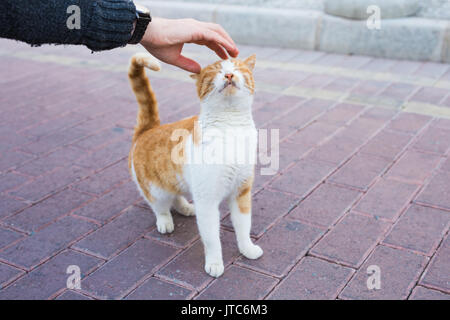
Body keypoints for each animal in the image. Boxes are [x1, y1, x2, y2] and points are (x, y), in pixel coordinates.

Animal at [126, 52, 262, 278]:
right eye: (216, 71)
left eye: (237, 68)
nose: (229, 74)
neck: (231, 127)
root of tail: (148, 129)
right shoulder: (207, 200)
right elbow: (212, 238)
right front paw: (215, 263)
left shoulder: (241, 192)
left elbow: (244, 226)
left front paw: (247, 249)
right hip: (155, 190)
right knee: (160, 206)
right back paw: (165, 221)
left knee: (176, 196)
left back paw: (186, 208)